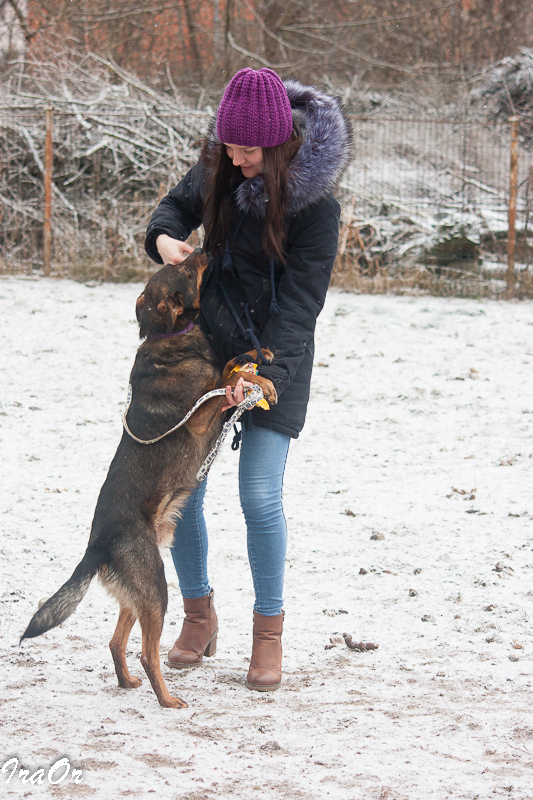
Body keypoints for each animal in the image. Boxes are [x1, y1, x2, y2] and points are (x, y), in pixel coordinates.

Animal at [21, 249, 277, 708]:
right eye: (186, 269)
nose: (202, 247)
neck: (171, 337)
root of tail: (98, 545)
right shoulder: (199, 418)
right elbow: (227, 378)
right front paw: (258, 379)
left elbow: (231, 364)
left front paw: (258, 357)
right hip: (156, 588)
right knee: (146, 652)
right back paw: (168, 700)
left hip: (138, 593)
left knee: (116, 642)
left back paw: (127, 683)